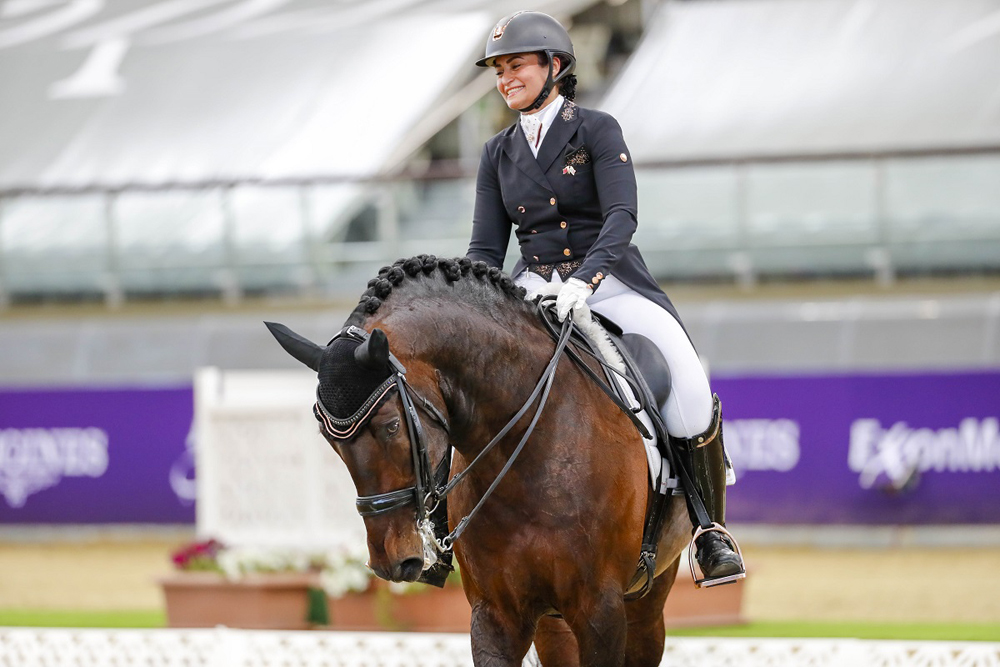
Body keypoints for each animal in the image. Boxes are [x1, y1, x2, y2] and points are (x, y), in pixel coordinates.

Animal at [270, 256, 700, 667]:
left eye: (391, 425)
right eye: (328, 438)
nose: (389, 561)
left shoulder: (601, 610)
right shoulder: (496, 614)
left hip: (647, 600)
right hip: (554, 623)